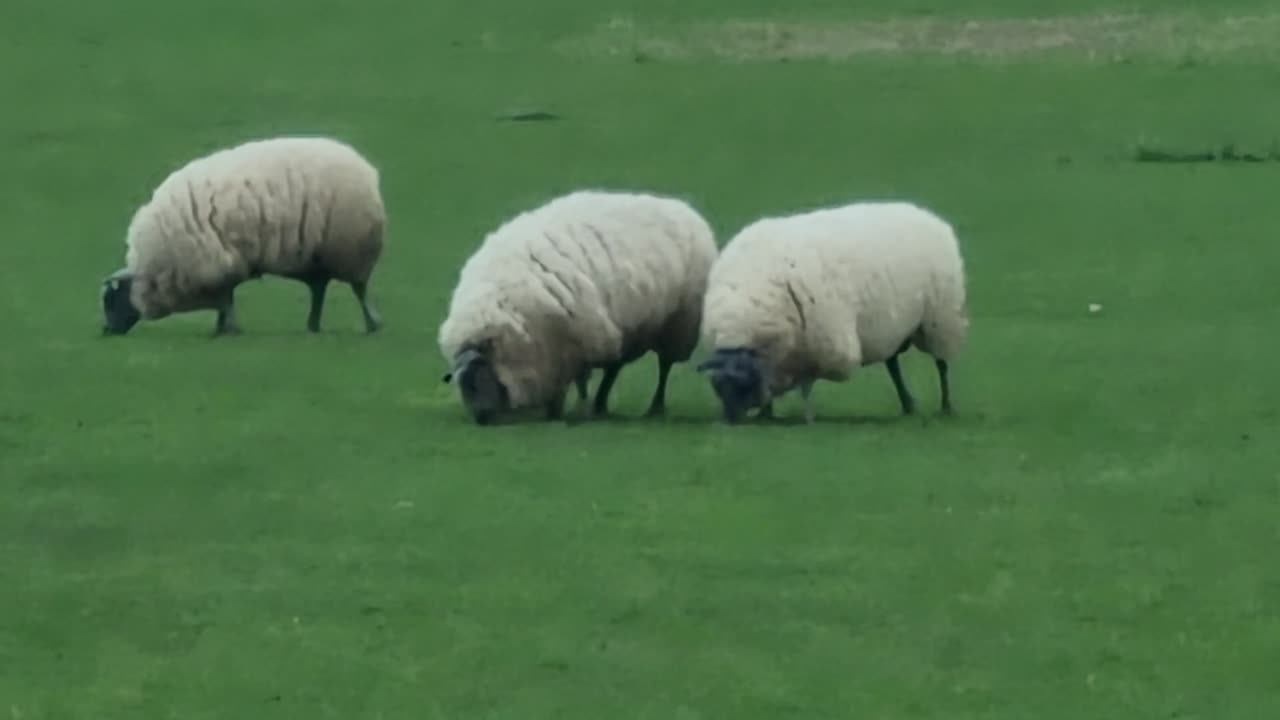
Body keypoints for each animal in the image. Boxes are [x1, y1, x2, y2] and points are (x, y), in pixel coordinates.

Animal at [99, 135, 384, 335]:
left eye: (110, 300)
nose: (106, 331)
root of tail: (367, 171)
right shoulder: (222, 268)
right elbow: (226, 299)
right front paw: (222, 328)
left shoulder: (213, 267)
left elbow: (225, 301)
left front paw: (228, 330)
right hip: (318, 259)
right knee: (319, 290)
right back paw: (312, 326)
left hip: (352, 250)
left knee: (359, 289)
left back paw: (372, 325)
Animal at [440, 188, 721, 422]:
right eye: (462, 384)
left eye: (480, 378)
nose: (481, 419)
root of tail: (682, 207)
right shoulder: (554, 351)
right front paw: (557, 409)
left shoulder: (577, 340)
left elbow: (580, 380)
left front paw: (572, 410)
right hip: (626, 329)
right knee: (614, 367)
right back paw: (601, 405)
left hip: (677, 325)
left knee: (664, 367)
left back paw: (654, 408)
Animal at [696, 197, 962, 420]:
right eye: (717, 387)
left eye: (740, 386)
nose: (730, 420)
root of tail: (924, 214)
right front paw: (766, 414)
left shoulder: (821, 344)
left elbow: (807, 383)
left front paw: (805, 417)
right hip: (893, 328)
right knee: (893, 364)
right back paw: (908, 405)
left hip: (940, 320)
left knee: (941, 364)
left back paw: (946, 406)